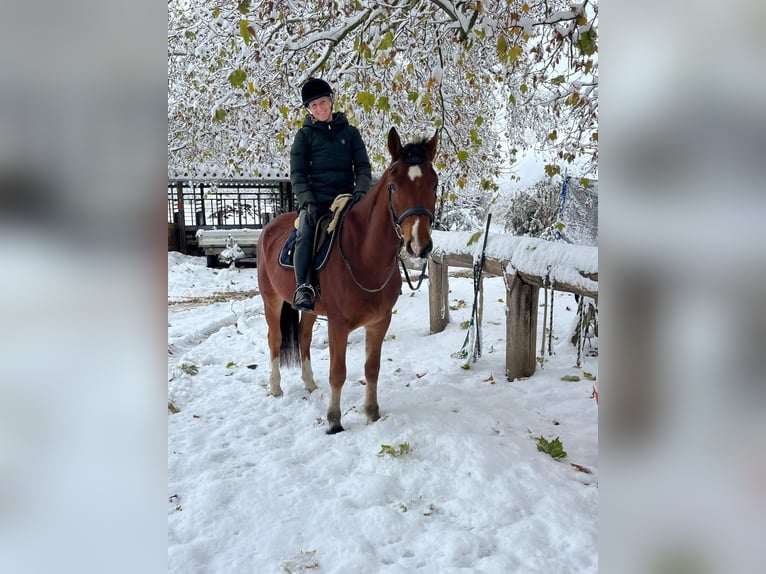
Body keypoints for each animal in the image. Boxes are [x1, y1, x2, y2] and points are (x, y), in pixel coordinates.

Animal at [256, 126, 438, 432]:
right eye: (393, 186)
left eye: (434, 184)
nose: (418, 245)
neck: (363, 255)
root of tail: (269, 227)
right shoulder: (338, 326)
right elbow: (338, 373)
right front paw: (334, 421)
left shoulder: (379, 322)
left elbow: (372, 369)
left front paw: (372, 413)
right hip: (271, 299)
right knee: (275, 338)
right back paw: (276, 387)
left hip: (307, 309)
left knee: (304, 337)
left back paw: (309, 383)